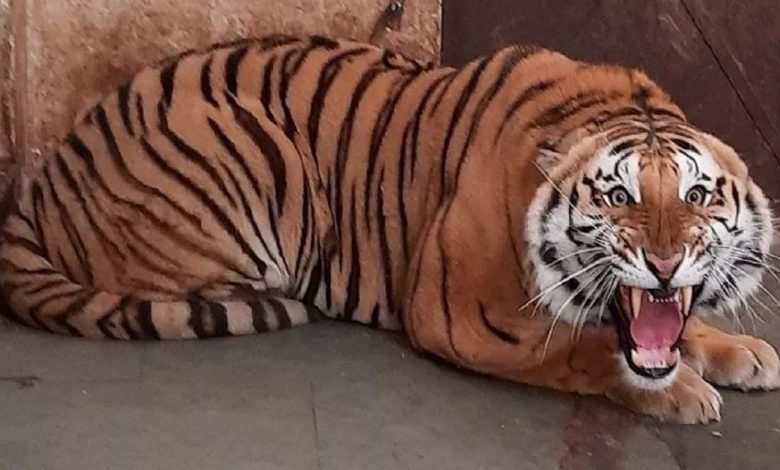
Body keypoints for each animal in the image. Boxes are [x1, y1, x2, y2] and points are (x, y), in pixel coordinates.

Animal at [0, 35, 778, 424]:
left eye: (699, 195)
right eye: (617, 197)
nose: (666, 262)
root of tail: (42, 178)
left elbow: (673, 331)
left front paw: (737, 351)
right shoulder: (462, 318)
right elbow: (585, 356)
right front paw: (678, 393)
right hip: (256, 148)